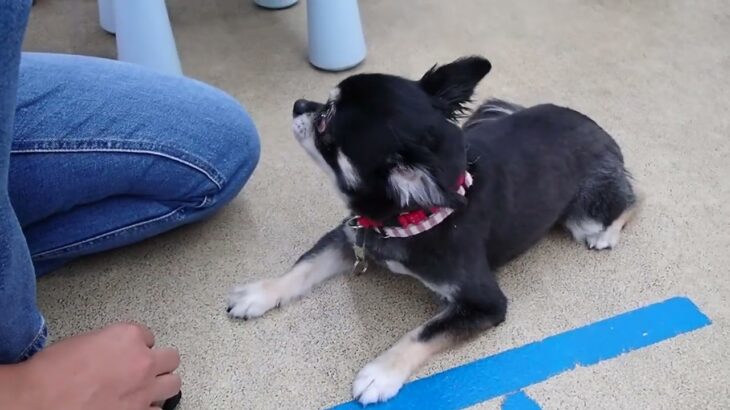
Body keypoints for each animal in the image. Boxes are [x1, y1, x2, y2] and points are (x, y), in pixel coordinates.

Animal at [225, 56, 636, 406]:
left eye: (326, 120)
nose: (297, 104)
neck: (409, 219)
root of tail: (596, 126)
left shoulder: (483, 303)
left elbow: (422, 332)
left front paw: (380, 373)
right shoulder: (352, 237)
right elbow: (303, 268)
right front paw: (260, 294)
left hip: (587, 211)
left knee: (633, 198)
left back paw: (606, 233)